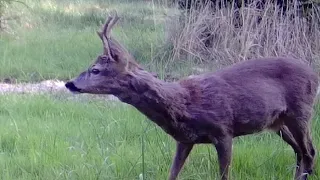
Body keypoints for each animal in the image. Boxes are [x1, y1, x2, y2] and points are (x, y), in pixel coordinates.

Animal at [65, 13, 318, 180]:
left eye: (95, 70)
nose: (70, 84)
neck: (183, 105)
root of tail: (315, 75)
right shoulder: (184, 140)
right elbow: (172, 174)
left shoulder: (224, 131)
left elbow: (224, 175)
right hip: (278, 122)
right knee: (300, 152)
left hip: (300, 112)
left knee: (309, 151)